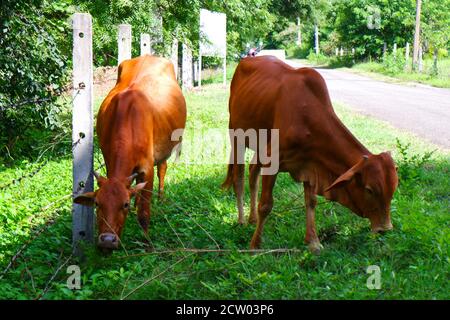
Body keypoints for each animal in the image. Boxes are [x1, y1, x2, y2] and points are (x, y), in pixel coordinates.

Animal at [74, 55, 186, 250]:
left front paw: (147, 243)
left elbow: (144, 212)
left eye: (124, 205)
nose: (107, 241)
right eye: (97, 204)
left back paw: (161, 198)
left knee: (162, 170)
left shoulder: (147, 169)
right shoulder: (109, 161)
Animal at [222, 56, 398, 254]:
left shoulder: (310, 164)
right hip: (236, 136)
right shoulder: (272, 160)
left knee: (253, 172)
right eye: (369, 189)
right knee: (238, 177)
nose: (384, 229)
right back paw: (242, 220)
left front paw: (313, 242)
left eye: (393, 189)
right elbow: (266, 205)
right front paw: (255, 247)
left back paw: (252, 219)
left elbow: (311, 201)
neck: (306, 116)